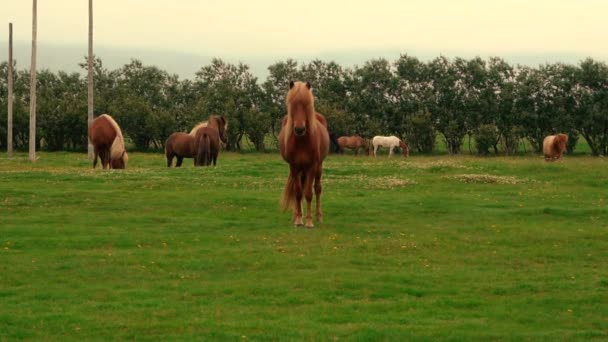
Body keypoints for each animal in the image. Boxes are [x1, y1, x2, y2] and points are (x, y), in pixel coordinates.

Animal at [280, 81, 330, 228]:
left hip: (318, 167)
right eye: (292, 104)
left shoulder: (312, 166)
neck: (302, 141)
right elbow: (298, 193)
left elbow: (308, 194)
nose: (299, 129)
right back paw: (297, 215)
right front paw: (298, 219)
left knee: (317, 189)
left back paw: (318, 216)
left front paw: (309, 221)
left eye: (307, 104)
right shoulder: (294, 167)